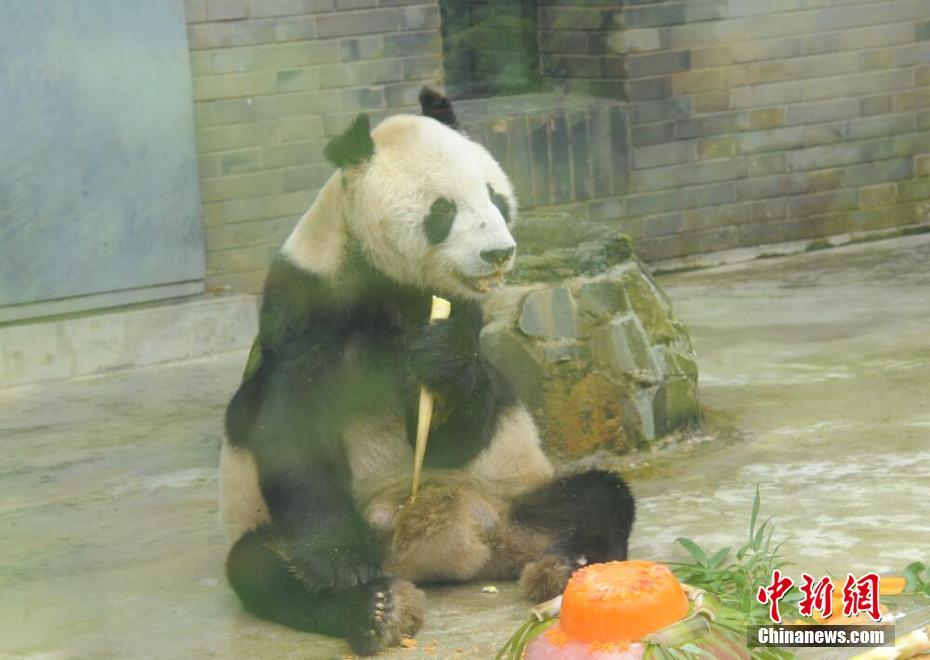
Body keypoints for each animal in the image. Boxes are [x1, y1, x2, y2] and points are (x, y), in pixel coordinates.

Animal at [219, 88, 635, 656]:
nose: (498, 253)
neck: (385, 280)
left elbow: (458, 426)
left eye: (496, 198)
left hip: (514, 501)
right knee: (260, 567)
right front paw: (343, 565)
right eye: (443, 210)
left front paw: (439, 360)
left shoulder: (460, 312)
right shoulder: (305, 306)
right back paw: (376, 607)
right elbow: (290, 425)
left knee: (600, 497)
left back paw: (563, 569)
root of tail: (447, 553)